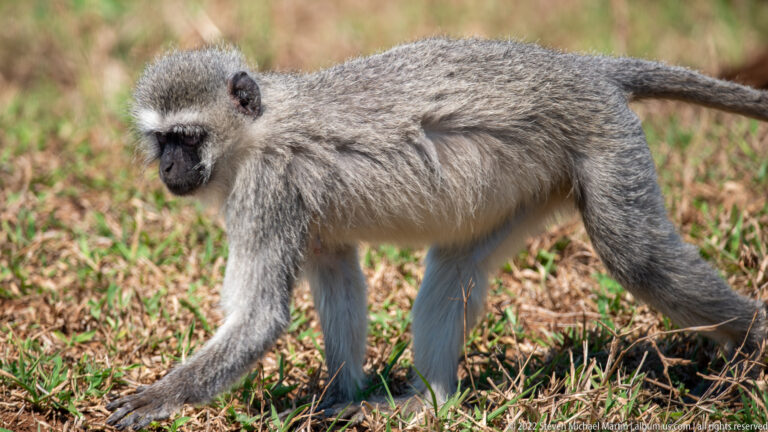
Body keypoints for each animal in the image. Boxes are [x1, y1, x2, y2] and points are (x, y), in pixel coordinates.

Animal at [106, 38, 768, 430]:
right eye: (162, 140)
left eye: (188, 137)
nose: (170, 170)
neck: (258, 128)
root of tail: (582, 65)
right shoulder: (306, 219)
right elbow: (338, 278)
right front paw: (337, 399)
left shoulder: (266, 189)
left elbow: (258, 317)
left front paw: (164, 397)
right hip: (534, 185)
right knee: (455, 268)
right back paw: (430, 401)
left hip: (603, 140)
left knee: (637, 255)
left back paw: (753, 347)